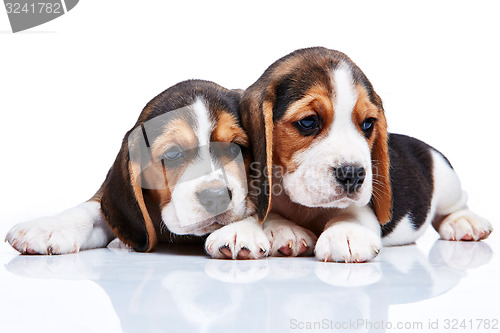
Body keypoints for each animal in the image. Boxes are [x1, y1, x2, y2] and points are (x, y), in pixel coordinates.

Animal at [4, 80, 270, 260]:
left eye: (235, 148)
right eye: (172, 154)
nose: (216, 197)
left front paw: (240, 231)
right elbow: (90, 211)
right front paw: (48, 227)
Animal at [240, 46, 494, 262]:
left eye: (367, 124)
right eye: (308, 121)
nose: (353, 175)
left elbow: (352, 212)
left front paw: (345, 232)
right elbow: (270, 213)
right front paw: (285, 229)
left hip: (446, 177)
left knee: (455, 205)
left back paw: (465, 222)